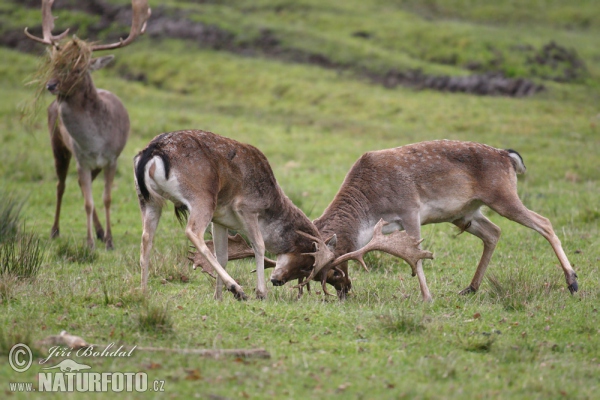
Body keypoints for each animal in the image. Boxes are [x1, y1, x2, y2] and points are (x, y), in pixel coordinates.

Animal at [25, 0, 152, 248]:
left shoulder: (112, 158)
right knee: (61, 186)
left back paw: (101, 232)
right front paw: (90, 242)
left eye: (78, 69)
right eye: (55, 63)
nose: (51, 85)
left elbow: (106, 198)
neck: (96, 142)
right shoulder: (80, 158)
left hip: (94, 164)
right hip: (58, 146)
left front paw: (109, 239)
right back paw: (55, 230)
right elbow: (87, 201)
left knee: (81, 186)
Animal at [134, 131, 432, 300]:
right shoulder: (246, 207)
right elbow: (259, 245)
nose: (347, 288)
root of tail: (152, 152)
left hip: (148, 200)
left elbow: (222, 254)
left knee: (146, 238)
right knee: (191, 231)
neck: (273, 204)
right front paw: (259, 291)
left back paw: (144, 291)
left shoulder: (221, 219)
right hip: (201, 196)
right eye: (311, 266)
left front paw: (217, 295)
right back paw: (238, 290)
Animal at [270, 140, 580, 300]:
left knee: (544, 222)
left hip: (502, 195)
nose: (345, 292)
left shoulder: (410, 208)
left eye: (331, 271)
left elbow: (416, 256)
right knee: (494, 232)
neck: (369, 210)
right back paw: (470, 288)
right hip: (465, 213)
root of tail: (508, 157)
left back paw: (572, 281)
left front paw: (427, 296)